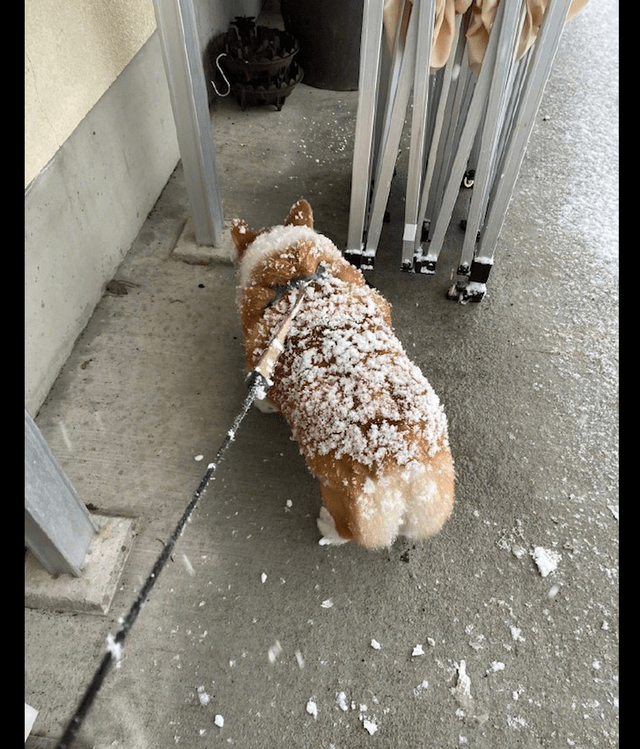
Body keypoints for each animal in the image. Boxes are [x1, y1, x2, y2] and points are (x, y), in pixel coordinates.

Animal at [231, 199, 456, 548]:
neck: (296, 275)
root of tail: (404, 464)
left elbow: (262, 392)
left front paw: (261, 404)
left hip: (338, 493)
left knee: (348, 529)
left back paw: (327, 528)